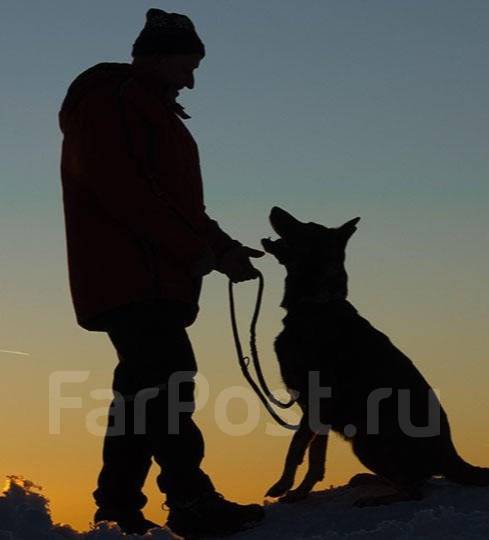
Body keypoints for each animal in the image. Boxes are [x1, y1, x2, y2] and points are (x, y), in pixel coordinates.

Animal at [262, 207, 486, 506]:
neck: (317, 304)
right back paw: (369, 481)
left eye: (305, 226)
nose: (274, 208)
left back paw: (377, 498)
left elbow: (296, 446)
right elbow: (315, 457)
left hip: (366, 441)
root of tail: (451, 458)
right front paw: (299, 492)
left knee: (416, 490)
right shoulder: (316, 412)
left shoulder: (316, 401)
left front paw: (282, 484)